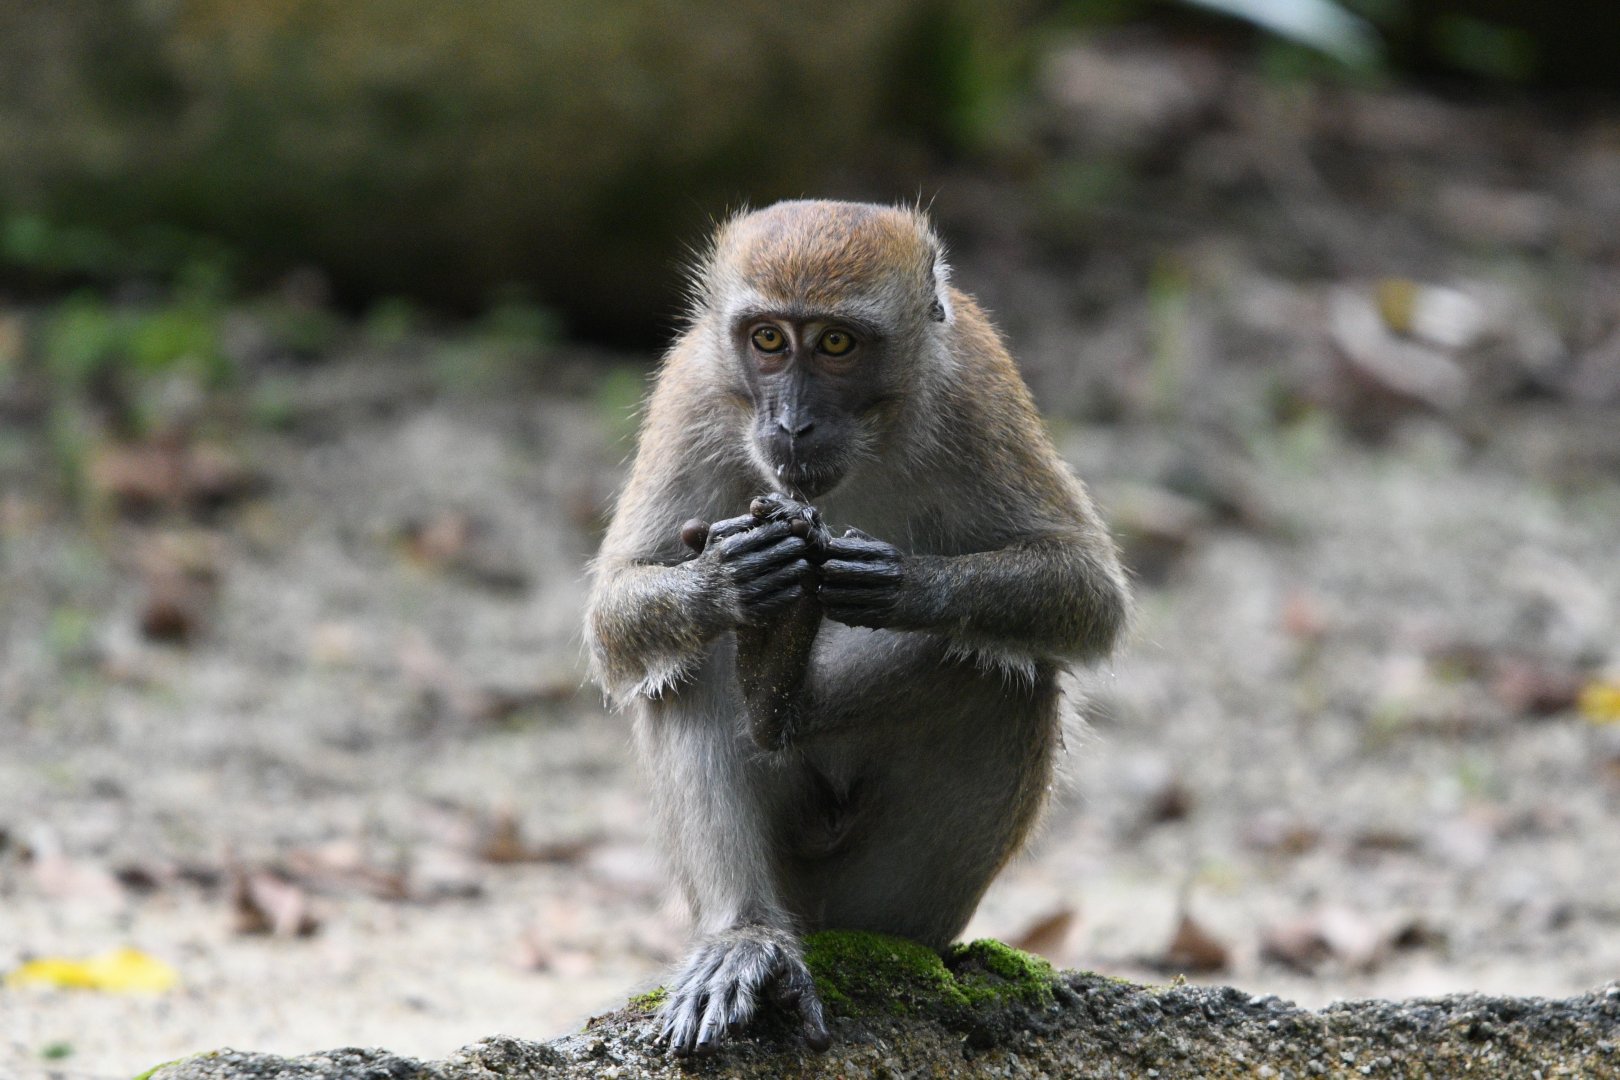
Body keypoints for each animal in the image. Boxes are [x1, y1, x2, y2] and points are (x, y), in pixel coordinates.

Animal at [585, 200, 1129, 1057]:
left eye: (836, 344)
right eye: (768, 340)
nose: (793, 425)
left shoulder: (974, 394)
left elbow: (1088, 586)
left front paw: (897, 583)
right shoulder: (695, 391)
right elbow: (614, 614)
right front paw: (729, 579)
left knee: (1007, 678)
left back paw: (787, 705)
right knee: (689, 667)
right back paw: (748, 929)